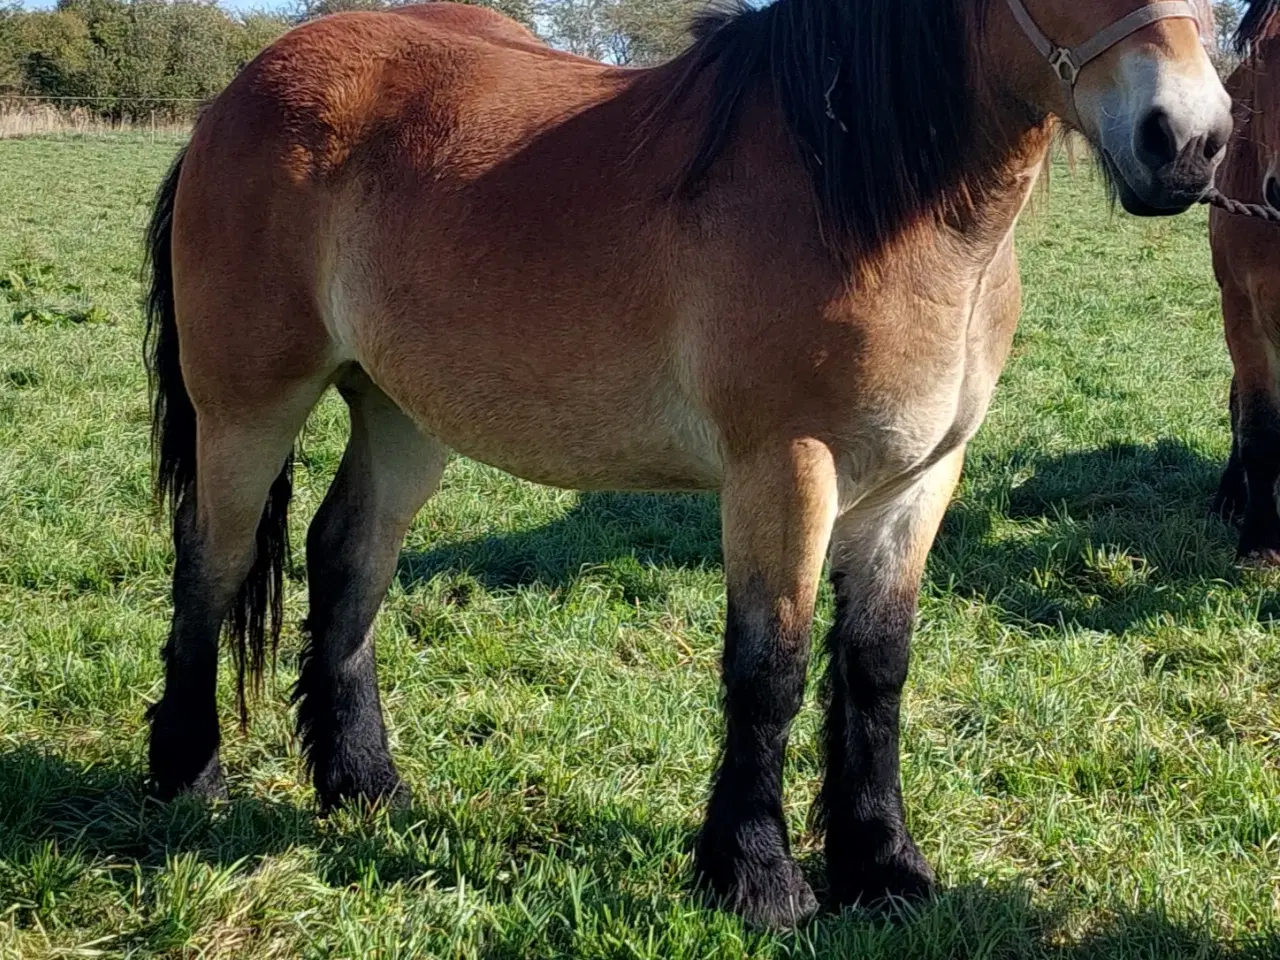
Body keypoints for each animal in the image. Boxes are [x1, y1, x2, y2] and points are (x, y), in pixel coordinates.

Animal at [147, 0, 1228, 926]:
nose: (1189, 141)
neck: (856, 191)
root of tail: (237, 95)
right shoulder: (783, 471)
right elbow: (771, 669)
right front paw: (756, 878)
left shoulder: (918, 483)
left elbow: (876, 667)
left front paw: (883, 866)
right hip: (248, 408)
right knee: (214, 562)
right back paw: (186, 773)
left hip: (402, 411)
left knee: (349, 561)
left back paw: (363, 784)